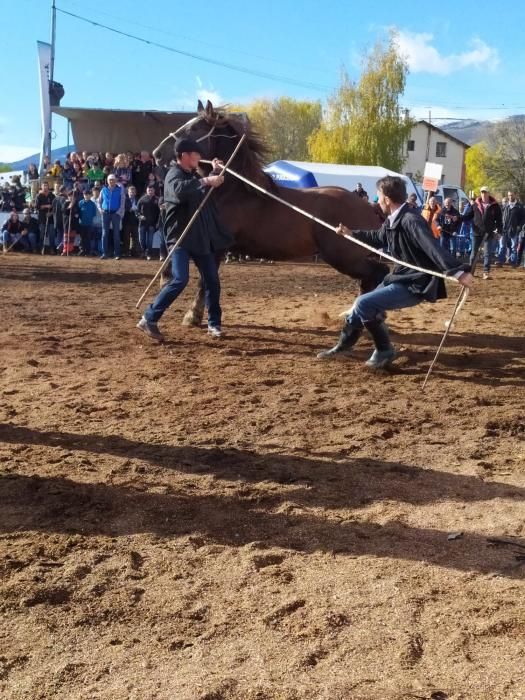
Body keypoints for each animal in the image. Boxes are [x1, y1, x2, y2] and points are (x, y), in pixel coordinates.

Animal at [151, 100, 384, 326]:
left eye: (195, 127)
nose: (157, 153)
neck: (231, 191)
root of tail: (371, 207)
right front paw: (166, 281)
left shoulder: (215, 246)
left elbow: (204, 281)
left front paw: (192, 316)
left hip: (345, 257)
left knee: (375, 275)